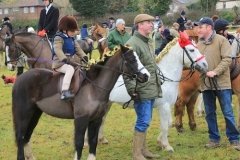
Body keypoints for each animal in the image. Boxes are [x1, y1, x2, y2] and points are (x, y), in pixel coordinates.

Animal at [12, 44, 150, 160]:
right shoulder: (81, 119)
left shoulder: (96, 120)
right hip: (24, 115)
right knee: (20, 137)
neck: (94, 87)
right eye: (131, 60)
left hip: (35, 113)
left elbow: (93, 142)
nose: (146, 76)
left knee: (27, 135)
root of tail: (20, 78)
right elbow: (79, 144)